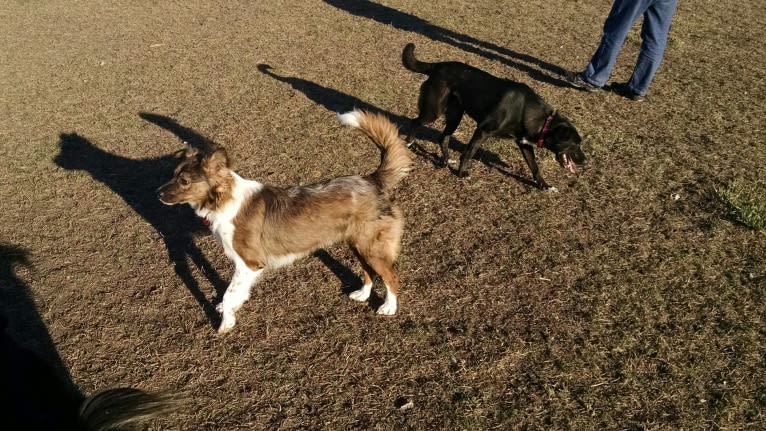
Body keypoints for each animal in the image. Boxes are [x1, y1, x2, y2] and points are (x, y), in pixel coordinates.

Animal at [157, 111, 416, 334]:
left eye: (184, 181)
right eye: (173, 175)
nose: (157, 194)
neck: (224, 199)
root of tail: (372, 179)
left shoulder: (249, 263)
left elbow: (230, 294)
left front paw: (225, 322)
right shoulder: (245, 267)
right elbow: (235, 293)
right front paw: (230, 308)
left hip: (371, 246)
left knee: (391, 275)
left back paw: (389, 307)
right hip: (359, 244)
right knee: (369, 271)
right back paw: (362, 294)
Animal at [402, 43, 588, 190]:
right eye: (576, 144)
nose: (585, 161)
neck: (542, 120)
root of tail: (437, 66)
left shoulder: (524, 143)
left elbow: (535, 167)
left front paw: (545, 186)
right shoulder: (483, 130)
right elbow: (468, 153)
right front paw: (462, 174)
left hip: (455, 115)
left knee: (443, 138)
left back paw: (445, 161)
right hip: (434, 111)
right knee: (415, 121)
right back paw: (410, 143)